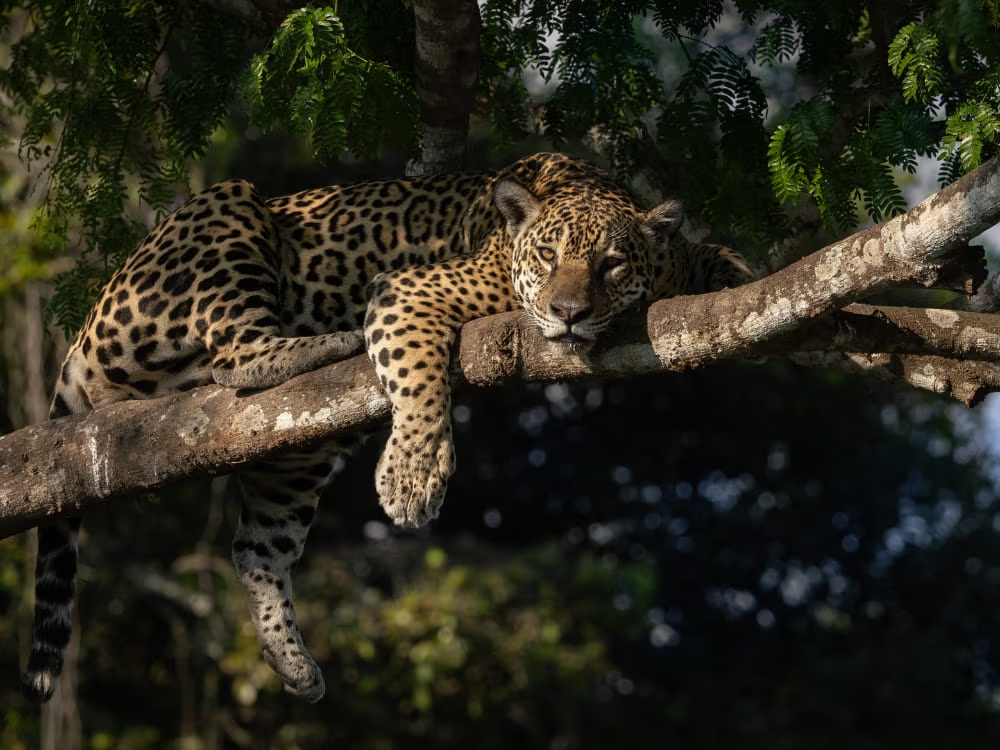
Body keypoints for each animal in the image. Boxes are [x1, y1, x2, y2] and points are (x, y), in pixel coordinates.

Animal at [22, 152, 755, 704]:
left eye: (611, 264)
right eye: (547, 257)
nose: (568, 312)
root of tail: (84, 327)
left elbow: (724, 257)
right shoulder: (412, 292)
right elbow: (420, 378)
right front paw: (412, 477)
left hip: (299, 450)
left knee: (256, 547)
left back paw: (293, 664)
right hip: (228, 211)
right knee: (237, 351)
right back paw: (327, 343)